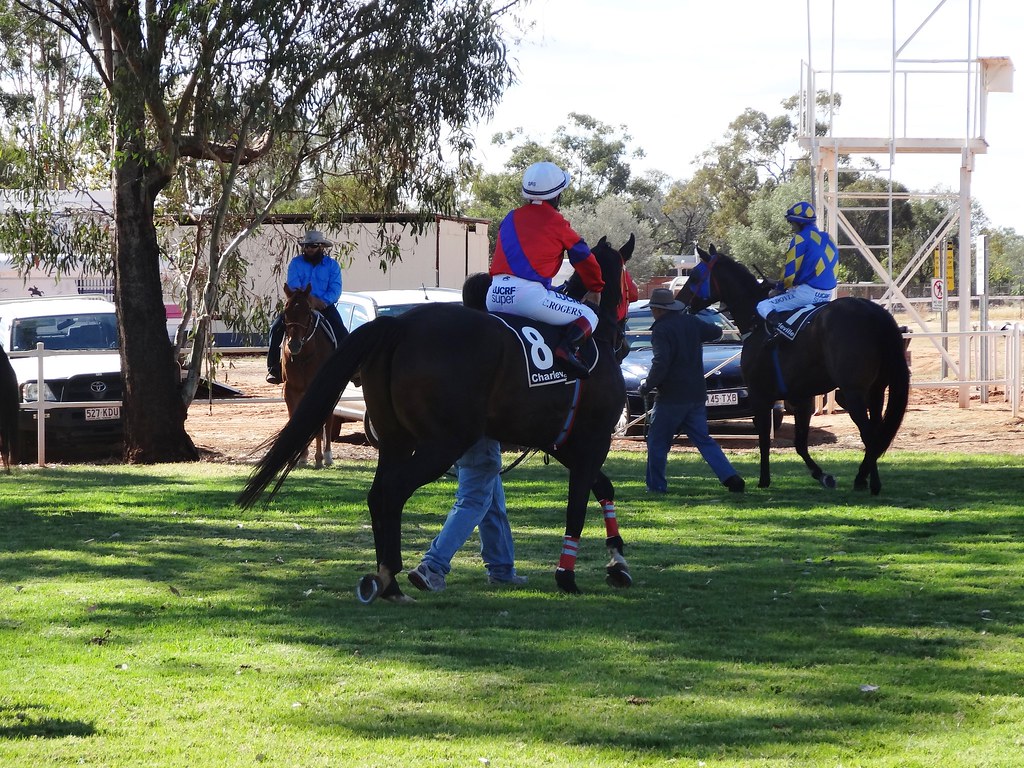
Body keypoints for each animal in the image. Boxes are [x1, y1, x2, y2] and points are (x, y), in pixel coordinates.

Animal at [281, 284, 339, 469]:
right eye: (286, 312)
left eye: (307, 312)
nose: (293, 345)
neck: (303, 356)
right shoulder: (291, 389)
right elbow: (295, 421)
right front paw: (299, 458)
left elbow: (318, 427)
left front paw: (318, 459)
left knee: (329, 419)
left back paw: (327, 456)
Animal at [676, 244, 910, 495]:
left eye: (694, 276)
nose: (679, 304)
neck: (757, 324)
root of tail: (874, 312)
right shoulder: (802, 397)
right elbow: (800, 444)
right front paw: (822, 475)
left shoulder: (760, 395)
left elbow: (764, 439)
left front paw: (764, 480)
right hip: (876, 391)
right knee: (875, 431)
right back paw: (867, 480)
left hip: (853, 392)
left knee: (868, 434)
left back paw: (866, 480)